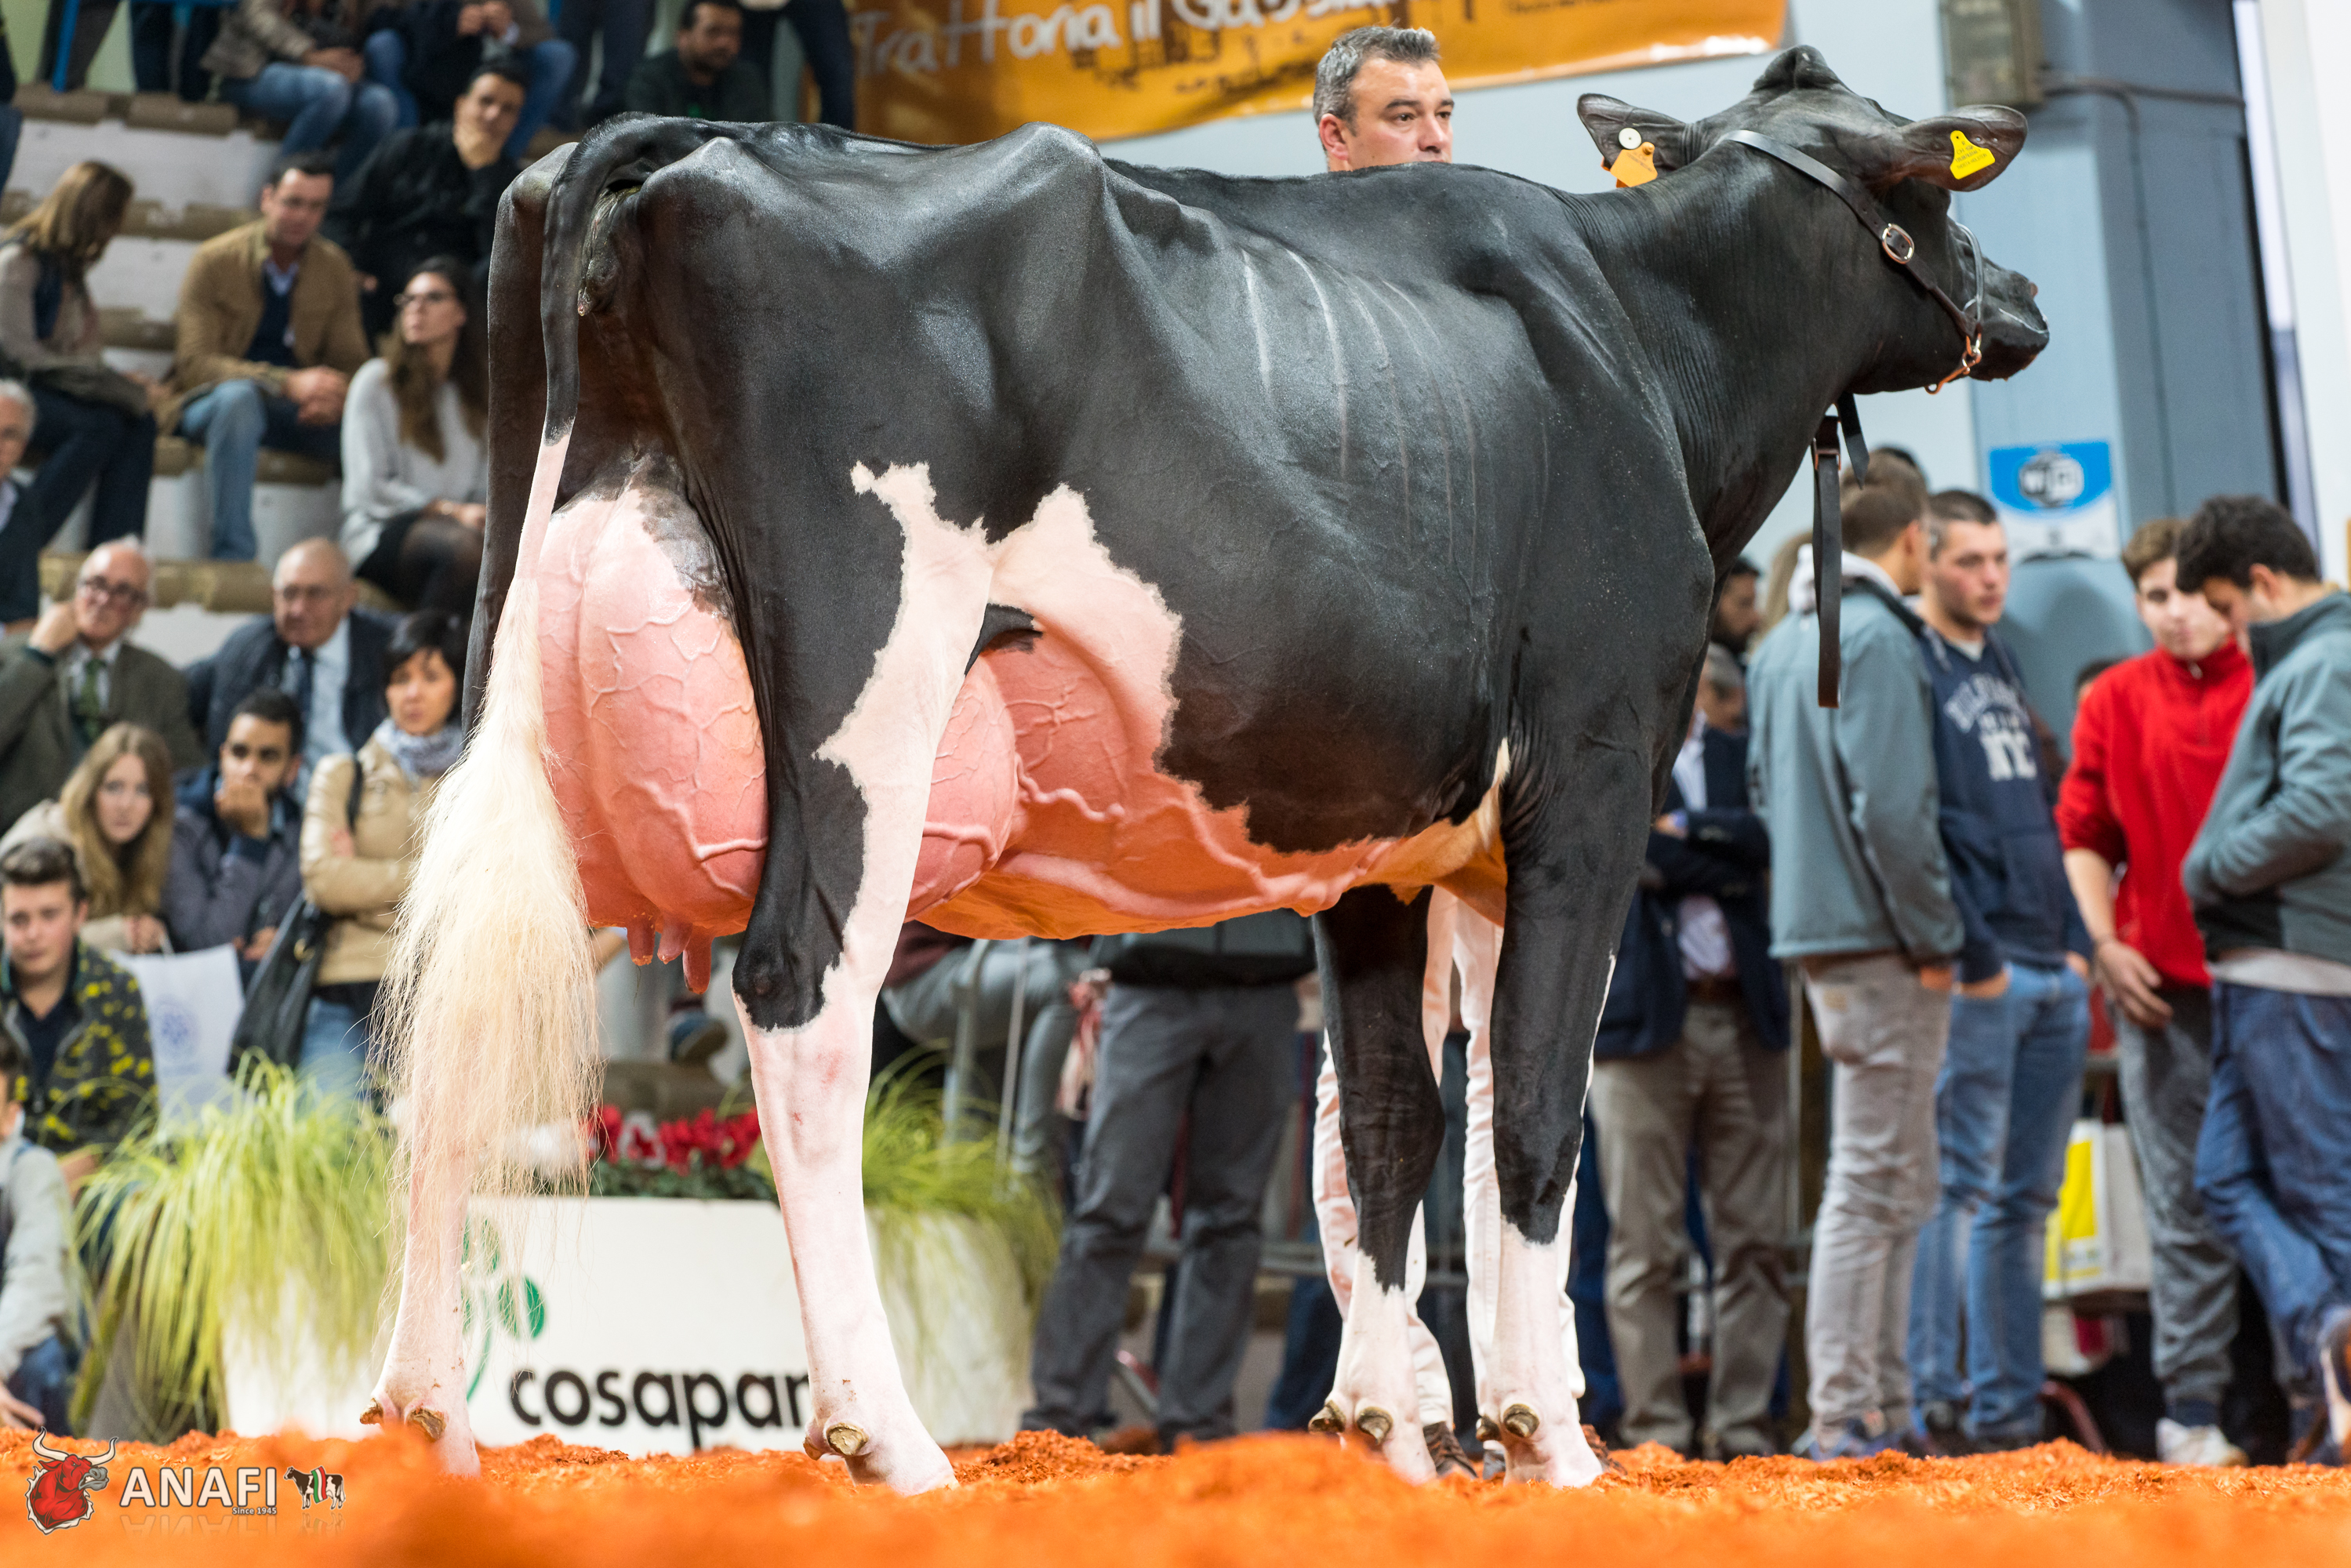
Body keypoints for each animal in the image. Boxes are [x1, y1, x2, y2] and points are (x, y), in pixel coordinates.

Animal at [358, 46, 2045, 1492]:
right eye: (1939, 184)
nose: (2023, 295)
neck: (1642, 345)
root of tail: (680, 135)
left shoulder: (1385, 849)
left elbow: (1388, 1126)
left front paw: (1390, 1435)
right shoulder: (1591, 777)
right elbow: (1531, 1110)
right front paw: (1550, 1441)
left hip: (532, 697)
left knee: (455, 1007)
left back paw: (423, 1419)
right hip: (867, 678)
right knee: (800, 1002)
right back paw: (881, 1437)